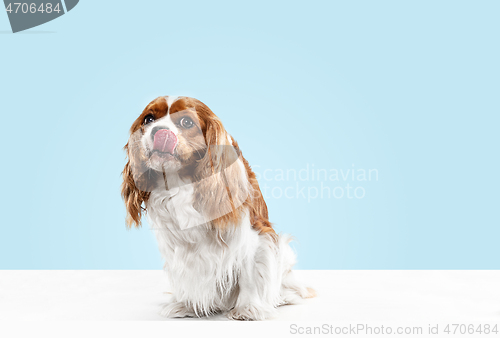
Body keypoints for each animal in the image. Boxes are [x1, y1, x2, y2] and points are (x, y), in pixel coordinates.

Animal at [121, 95, 314, 320]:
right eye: (149, 119)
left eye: (186, 122)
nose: (159, 131)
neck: (180, 183)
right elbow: (187, 273)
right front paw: (187, 304)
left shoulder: (255, 235)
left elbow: (249, 274)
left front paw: (247, 308)